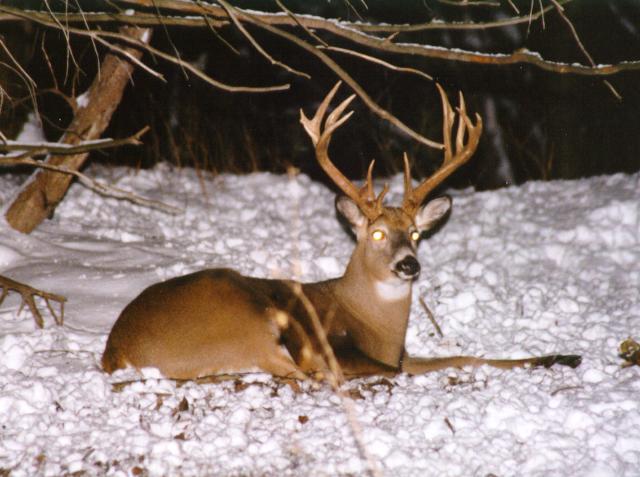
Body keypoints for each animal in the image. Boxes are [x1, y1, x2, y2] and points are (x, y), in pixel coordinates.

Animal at [102, 82, 584, 380]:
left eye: (415, 233)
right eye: (376, 234)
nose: (409, 266)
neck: (375, 326)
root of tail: (117, 349)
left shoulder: (404, 351)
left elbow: (466, 355)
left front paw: (565, 355)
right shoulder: (338, 346)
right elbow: (393, 369)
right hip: (244, 319)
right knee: (300, 371)